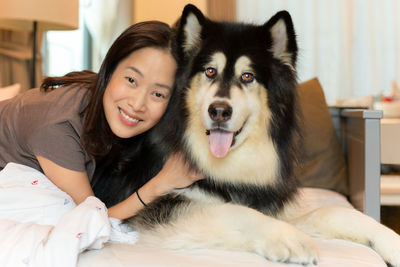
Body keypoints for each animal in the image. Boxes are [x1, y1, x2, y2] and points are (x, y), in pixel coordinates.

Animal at [92, 4, 400, 266]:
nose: (219, 111)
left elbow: (337, 211)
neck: (232, 165)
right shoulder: (159, 209)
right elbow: (233, 211)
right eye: (210, 71)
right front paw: (288, 236)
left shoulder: (271, 203)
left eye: (248, 76)